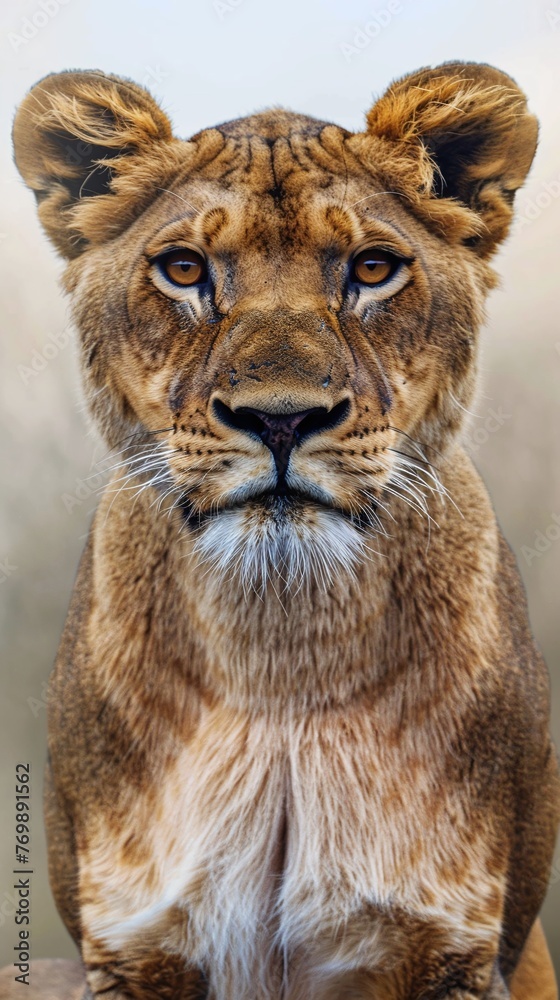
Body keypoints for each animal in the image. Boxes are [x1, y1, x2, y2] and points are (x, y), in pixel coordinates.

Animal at [6, 62, 559, 999]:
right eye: (183, 268)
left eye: (372, 268)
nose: (281, 419)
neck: (283, 656)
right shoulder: (130, 947)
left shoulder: (456, 946)